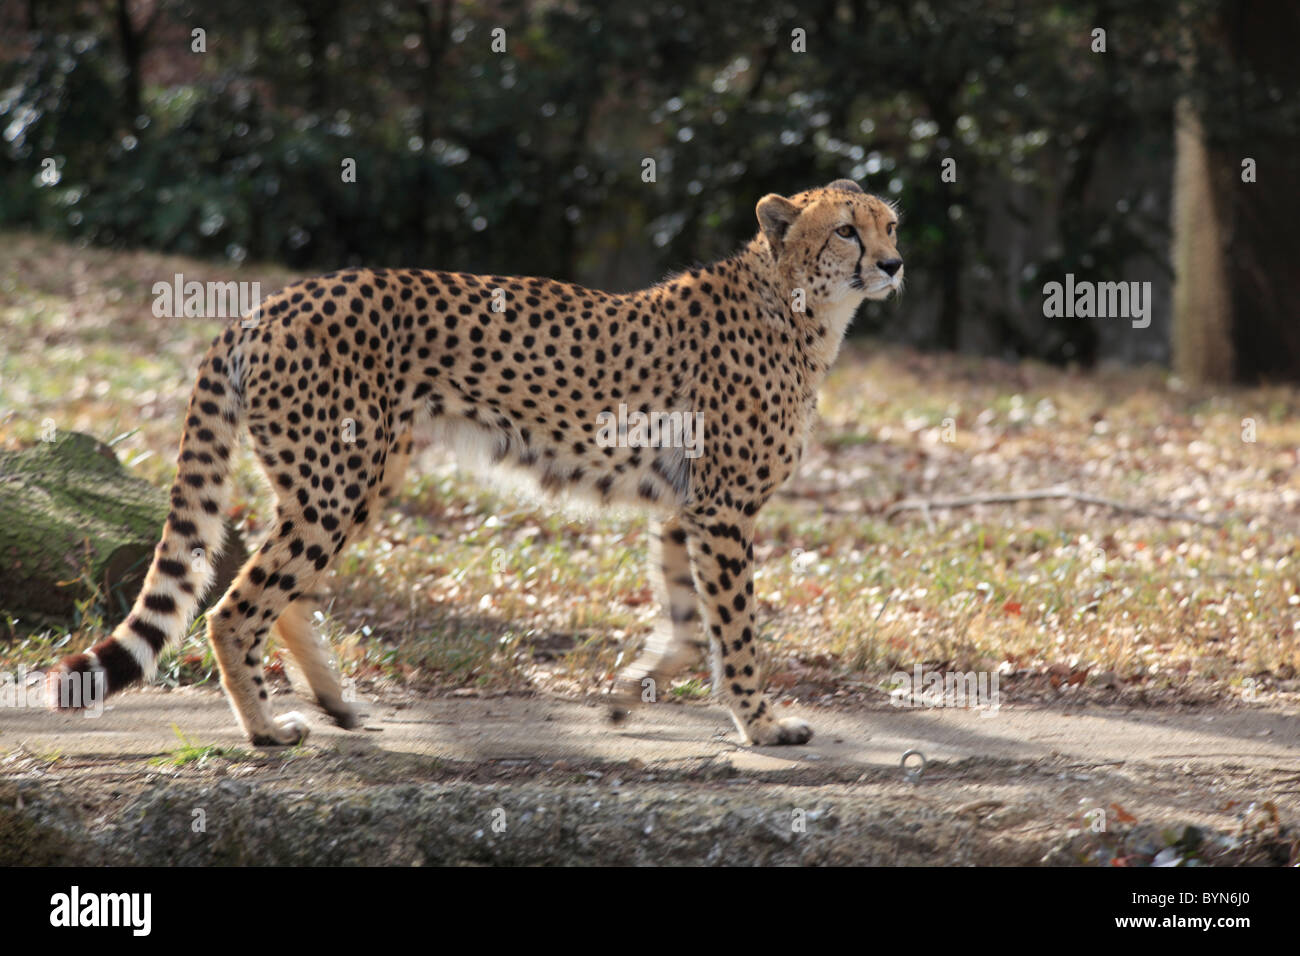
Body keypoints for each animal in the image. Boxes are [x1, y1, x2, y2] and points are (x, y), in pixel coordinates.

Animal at [50, 179, 904, 749]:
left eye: (891, 225)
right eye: (846, 232)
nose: (894, 265)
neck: (799, 307)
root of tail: (270, 303)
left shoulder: (682, 508)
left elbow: (692, 624)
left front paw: (630, 694)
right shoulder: (722, 510)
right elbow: (736, 629)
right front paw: (762, 725)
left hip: (354, 480)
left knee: (281, 591)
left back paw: (335, 704)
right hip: (334, 485)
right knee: (235, 606)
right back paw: (267, 730)